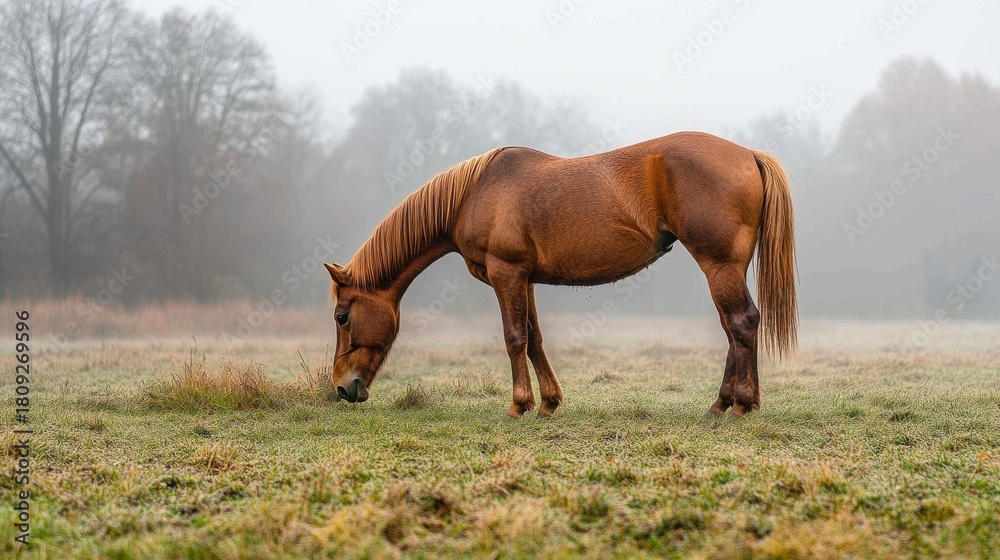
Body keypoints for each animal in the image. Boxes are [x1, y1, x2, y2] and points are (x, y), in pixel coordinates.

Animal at [324, 131, 797, 418]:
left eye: (341, 316)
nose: (343, 388)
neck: (473, 193)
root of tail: (749, 155)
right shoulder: (524, 278)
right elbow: (534, 338)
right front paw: (548, 402)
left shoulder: (506, 273)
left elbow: (514, 337)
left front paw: (518, 405)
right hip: (726, 268)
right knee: (734, 328)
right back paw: (723, 404)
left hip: (718, 265)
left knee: (741, 323)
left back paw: (739, 405)